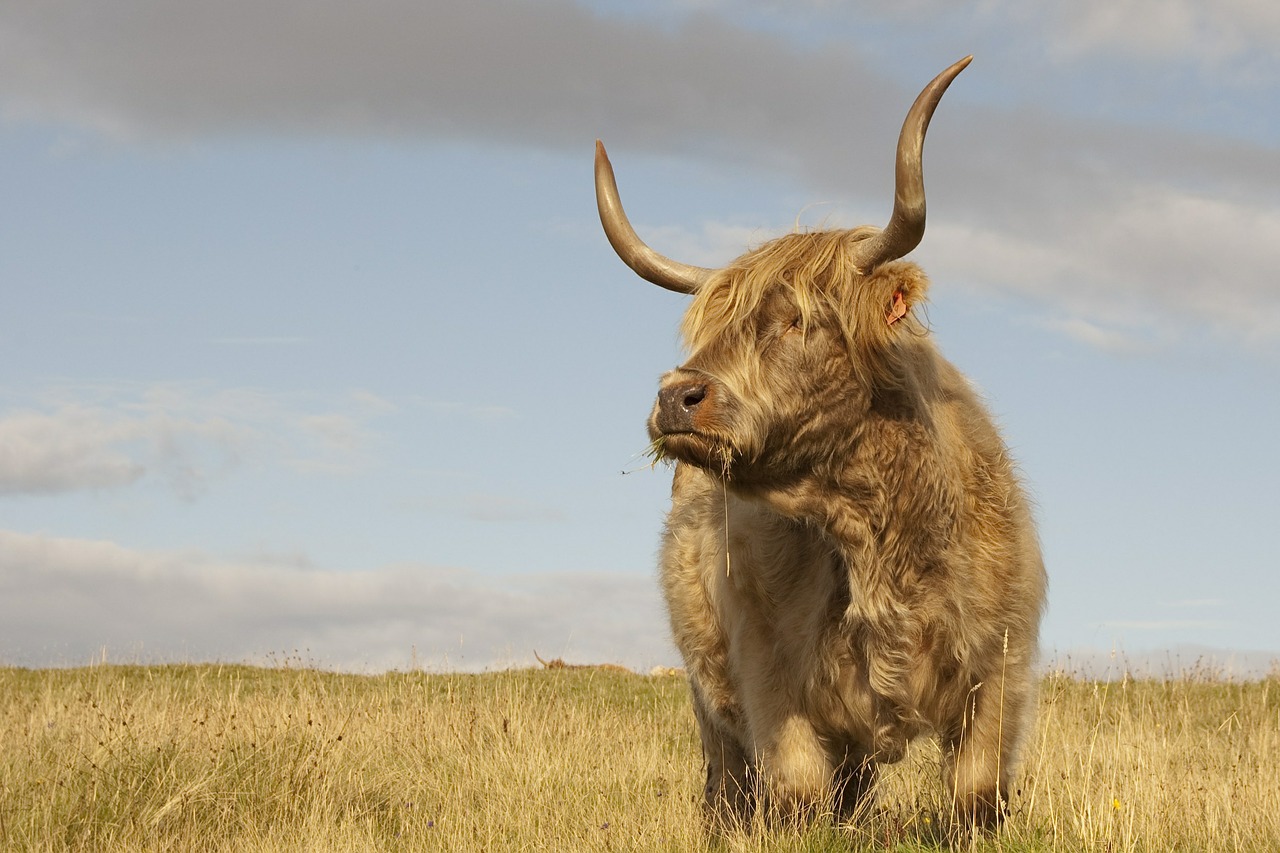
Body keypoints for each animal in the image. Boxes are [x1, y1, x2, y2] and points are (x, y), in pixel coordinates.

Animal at [593, 56, 1044, 824]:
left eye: (801, 319)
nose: (676, 396)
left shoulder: (1000, 670)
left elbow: (976, 793)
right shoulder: (768, 672)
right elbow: (796, 792)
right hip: (708, 693)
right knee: (729, 779)